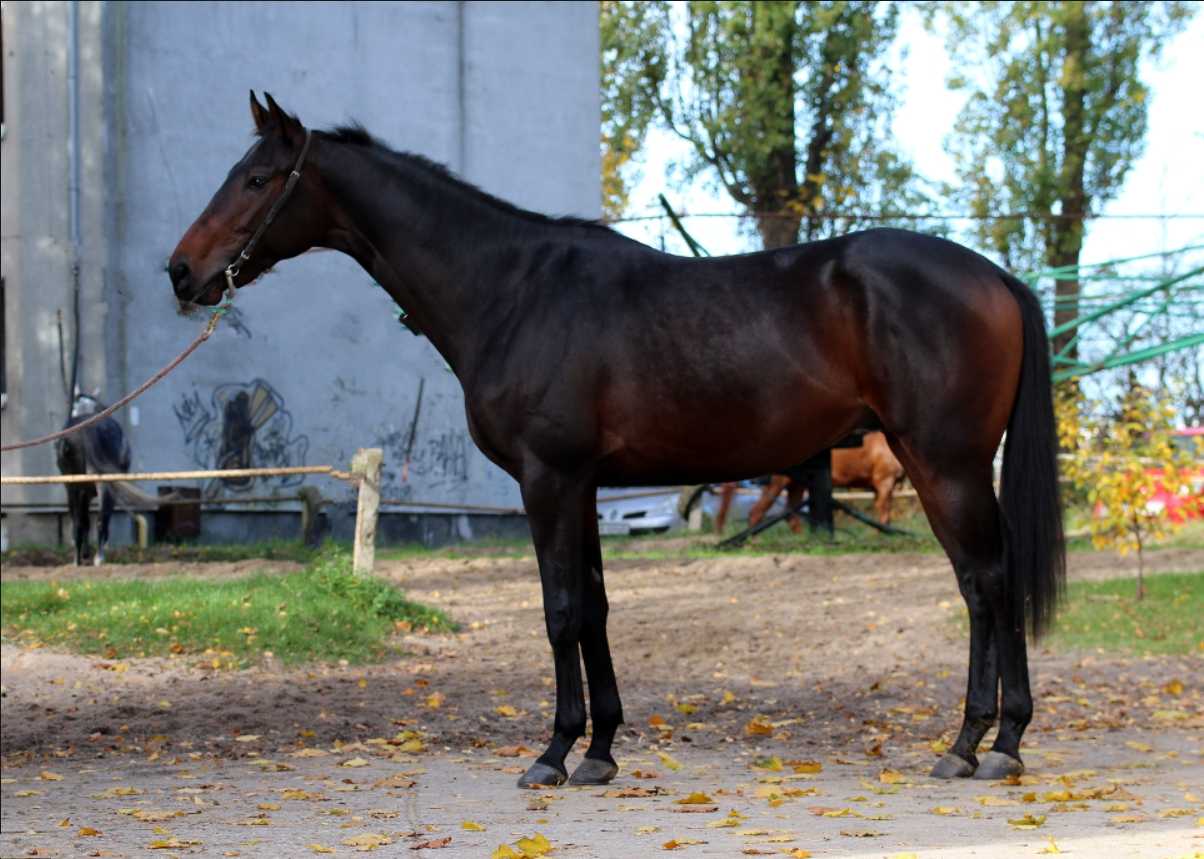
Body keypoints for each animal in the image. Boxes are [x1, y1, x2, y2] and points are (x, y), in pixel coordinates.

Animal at [56, 392, 132, 566]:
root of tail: (87, 428)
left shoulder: (79, 491)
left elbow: (84, 521)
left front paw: (85, 554)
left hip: (72, 487)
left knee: (78, 522)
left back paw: (77, 560)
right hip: (106, 485)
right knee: (102, 519)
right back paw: (99, 557)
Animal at [715, 430, 907, 533]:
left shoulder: (878, 488)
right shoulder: (884, 482)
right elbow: (884, 514)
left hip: (795, 484)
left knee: (790, 515)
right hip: (777, 482)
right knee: (756, 512)